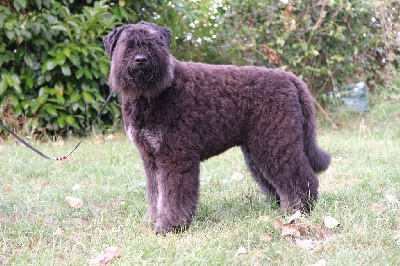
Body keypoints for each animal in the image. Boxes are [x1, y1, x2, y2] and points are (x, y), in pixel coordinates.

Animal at [104, 21, 332, 233]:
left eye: (155, 41)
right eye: (127, 43)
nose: (141, 59)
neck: (151, 97)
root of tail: (290, 79)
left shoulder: (175, 156)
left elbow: (173, 196)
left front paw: (170, 226)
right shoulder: (151, 158)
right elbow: (156, 194)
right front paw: (154, 220)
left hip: (275, 143)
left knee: (302, 179)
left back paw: (298, 212)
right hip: (257, 151)